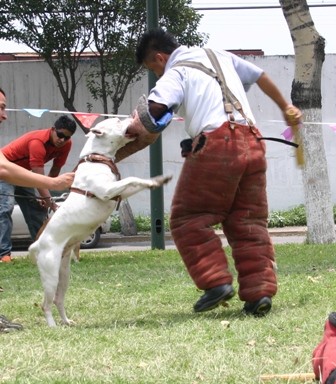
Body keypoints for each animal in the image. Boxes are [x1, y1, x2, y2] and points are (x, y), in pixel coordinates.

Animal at [28, 118, 171, 328]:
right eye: (118, 121)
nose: (130, 118)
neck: (97, 159)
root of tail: (38, 243)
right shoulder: (106, 190)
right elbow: (131, 178)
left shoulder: (119, 192)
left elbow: (136, 183)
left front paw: (156, 181)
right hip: (50, 274)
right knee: (45, 303)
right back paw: (52, 326)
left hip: (64, 274)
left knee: (58, 299)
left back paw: (67, 321)